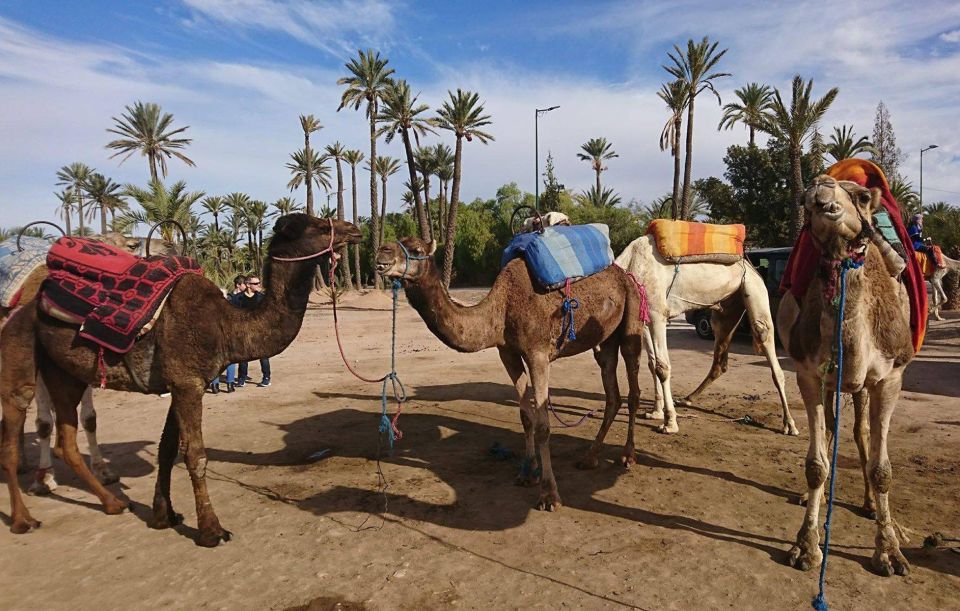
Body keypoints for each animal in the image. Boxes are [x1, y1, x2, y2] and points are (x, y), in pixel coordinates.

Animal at [0, 214, 360, 544]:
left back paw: (113, 503)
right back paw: (23, 519)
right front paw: (211, 530)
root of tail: (28, 303)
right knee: (14, 432)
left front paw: (164, 516)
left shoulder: (180, 384)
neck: (226, 325)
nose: (354, 229)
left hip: (65, 374)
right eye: (320, 226)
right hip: (21, 356)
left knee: (66, 441)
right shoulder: (188, 384)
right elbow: (195, 455)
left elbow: (166, 449)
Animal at [776, 176, 912, 572]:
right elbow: (815, 465)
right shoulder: (808, 373)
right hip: (834, 383)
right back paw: (817, 499)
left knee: (861, 431)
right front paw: (806, 546)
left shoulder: (890, 377)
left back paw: (873, 508)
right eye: (805, 200)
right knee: (835, 427)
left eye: (863, 197)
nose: (823, 198)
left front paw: (889, 552)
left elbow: (883, 470)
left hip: (864, 385)